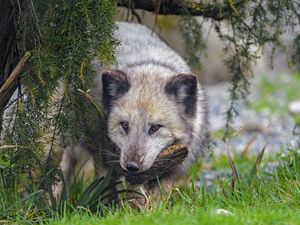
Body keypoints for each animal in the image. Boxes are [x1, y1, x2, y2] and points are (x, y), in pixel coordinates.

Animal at [58, 21, 209, 202]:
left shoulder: (171, 171)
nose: (132, 166)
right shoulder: (105, 156)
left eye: (155, 127)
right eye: (124, 125)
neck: (149, 66)